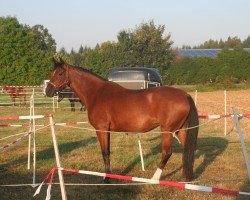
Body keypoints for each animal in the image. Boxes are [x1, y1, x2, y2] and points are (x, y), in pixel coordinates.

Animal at [46, 58, 199, 182]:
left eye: (60, 73)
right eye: (52, 73)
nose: (48, 91)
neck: (97, 93)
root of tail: (185, 95)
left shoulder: (101, 129)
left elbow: (104, 152)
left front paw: (106, 178)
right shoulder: (107, 130)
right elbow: (107, 151)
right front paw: (110, 174)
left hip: (167, 131)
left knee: (167, 153)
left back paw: (154, 179)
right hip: (180, 130)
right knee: (188, 149)